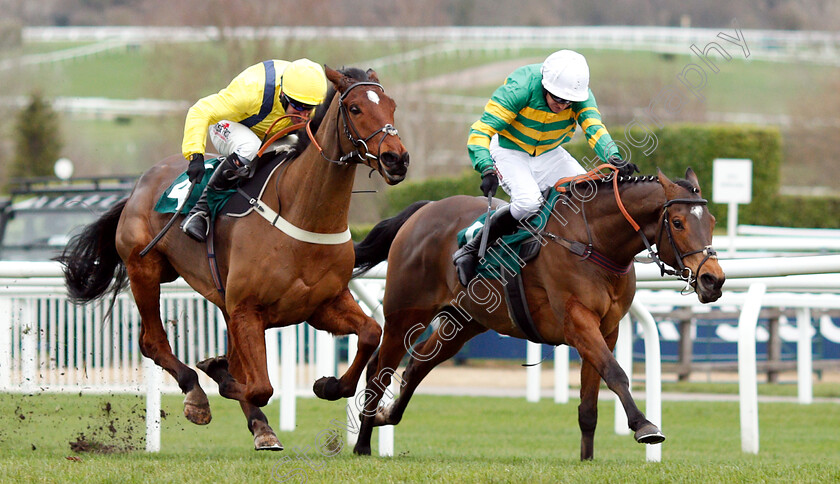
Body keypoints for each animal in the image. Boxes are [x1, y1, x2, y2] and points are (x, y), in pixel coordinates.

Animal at [55, 65, 410, 450]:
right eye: (356, 108)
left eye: (392, 106)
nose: (396, 159)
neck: (303, 215)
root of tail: (137, 187)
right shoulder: (247, 309)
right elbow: (257, 386)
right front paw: (216, 372)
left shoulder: (321, 305)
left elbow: (371, 332)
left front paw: (328, 384)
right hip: (144, 269)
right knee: (152, 342)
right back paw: (197, 394)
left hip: (212, 294)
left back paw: (261, 426)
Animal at [352, 168, 724, 460]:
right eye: (677, 222)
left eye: (712, 222)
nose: (713, 279)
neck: (594, 243)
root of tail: (425, 208)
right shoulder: (577, 321)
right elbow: (616, 374)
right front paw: (644, 426)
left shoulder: (607, 329)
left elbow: (590, 402)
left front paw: (587, 459)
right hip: (406, 314)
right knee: (380, 371)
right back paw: (362, 443)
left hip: (464, 322)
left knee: (416, 366)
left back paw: (384, 416)